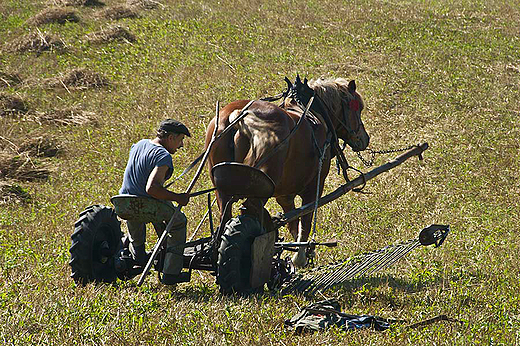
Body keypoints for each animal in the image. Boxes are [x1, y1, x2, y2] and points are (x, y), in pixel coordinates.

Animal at [205, 77, 372, 266]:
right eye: (358, 108)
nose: (364, 138)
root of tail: (238, 117)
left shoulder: (284, 195)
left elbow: (292, 221)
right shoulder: (314, 185)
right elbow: (305, 220)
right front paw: (301, 256)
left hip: (223, 189)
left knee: (226, 218)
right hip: (258, 186)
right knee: (250, 212)